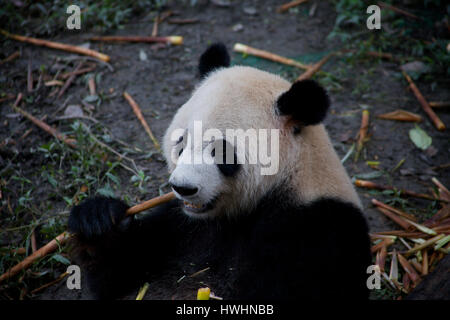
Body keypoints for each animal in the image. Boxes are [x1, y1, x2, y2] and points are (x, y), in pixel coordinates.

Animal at [68, 43, 370, 300]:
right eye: (181, 143)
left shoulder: (318, 231)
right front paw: (98, 218)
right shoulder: (181, 223)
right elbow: (118, 272)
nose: (183, 188)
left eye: (222, 153)